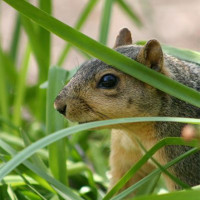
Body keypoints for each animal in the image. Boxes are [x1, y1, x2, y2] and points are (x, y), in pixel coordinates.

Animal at [53, 27, 200, 194]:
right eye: (84, 66)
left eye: (108, 80)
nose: (58, 105)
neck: (134, 132)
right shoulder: (124, 151)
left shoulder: (184, 159)